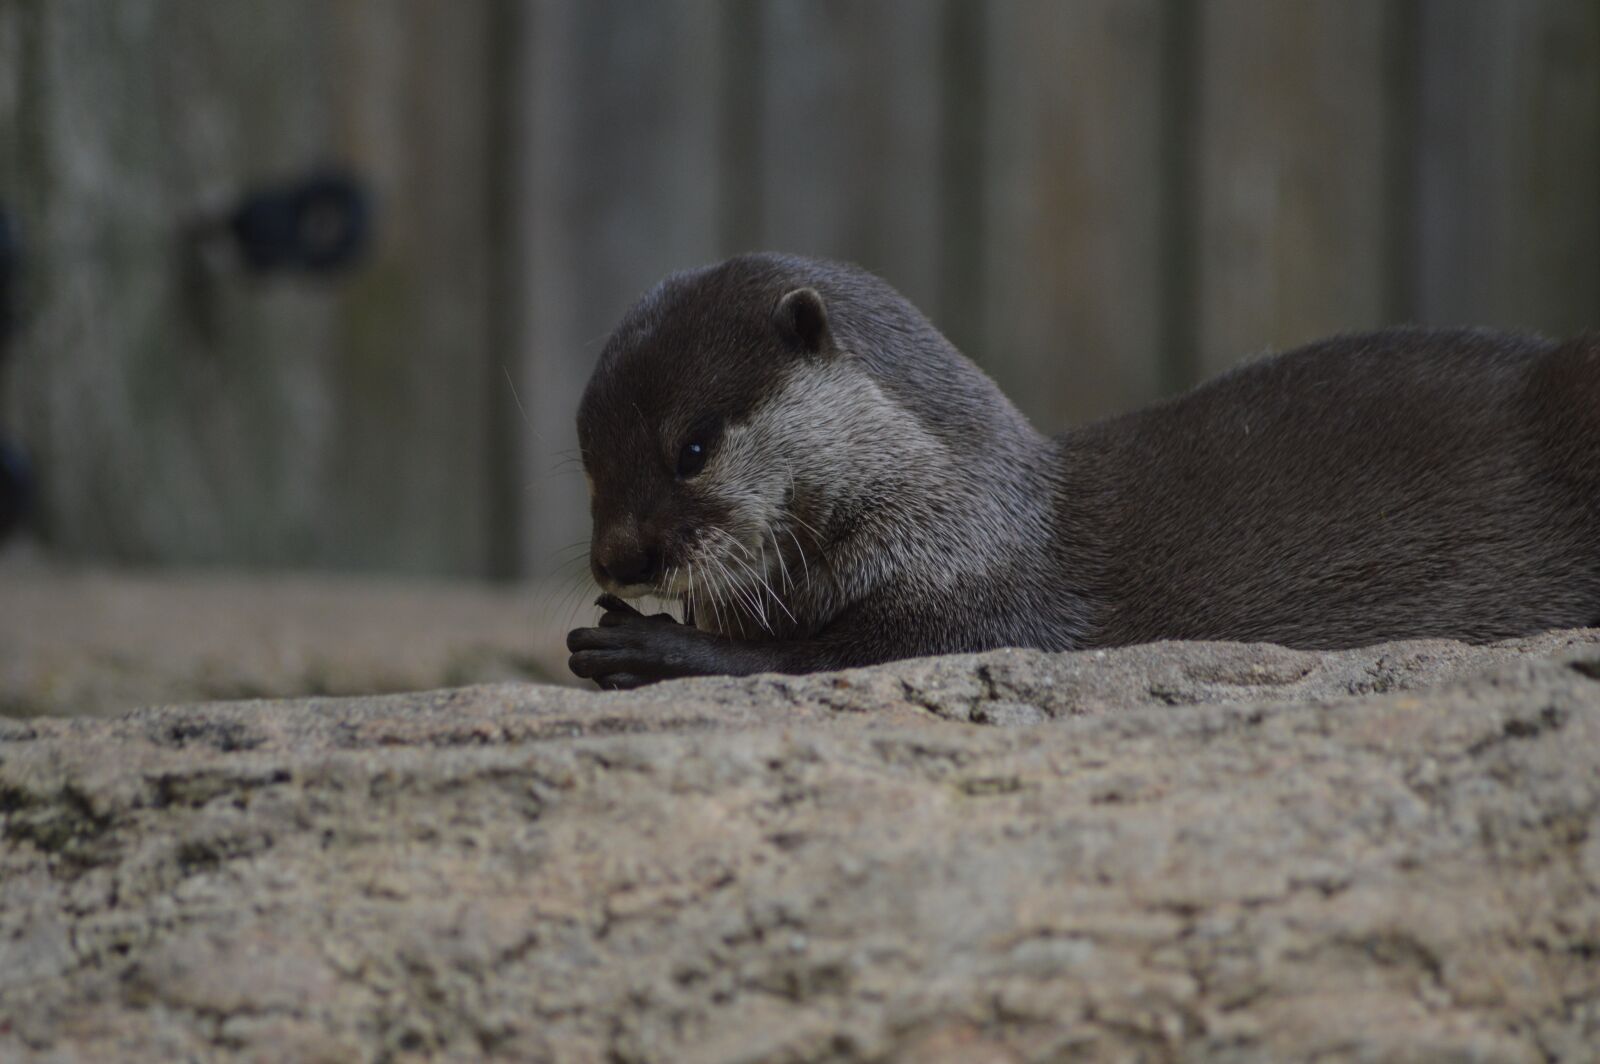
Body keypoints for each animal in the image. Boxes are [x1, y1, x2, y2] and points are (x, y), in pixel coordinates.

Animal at [566, 253, 1600, 689]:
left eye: (691, 447)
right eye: (587, 459)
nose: (618, 558)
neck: (957, 506)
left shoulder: (982, 600)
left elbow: (827, 657)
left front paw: (653, 646)